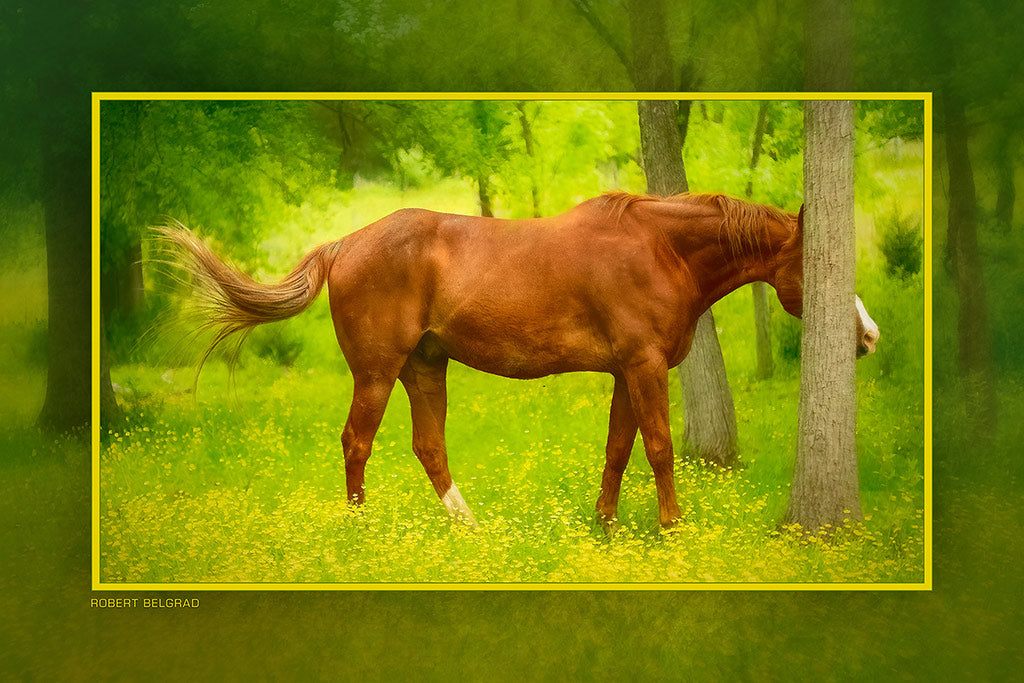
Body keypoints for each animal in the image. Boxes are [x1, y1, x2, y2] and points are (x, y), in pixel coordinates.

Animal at [161, 191, 880, 528]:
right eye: (819, 263)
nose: (868, 336)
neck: (660, 250)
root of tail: (345, 244)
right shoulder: (645, 366)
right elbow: (659, 447)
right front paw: (672, 527)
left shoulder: (626, 372)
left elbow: (619, 448)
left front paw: (605, 526)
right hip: (378, 371)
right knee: (356, 442)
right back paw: (361, 529)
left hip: (426, 365)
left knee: (428, 446)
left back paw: (470, 528)